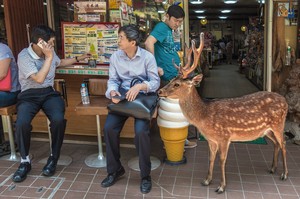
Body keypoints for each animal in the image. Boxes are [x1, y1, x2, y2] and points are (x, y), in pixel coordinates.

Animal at [158, 32, 290, 193]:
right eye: (171, 80)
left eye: (177, 84)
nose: (159, 91)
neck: (204, 116)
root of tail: (285, 101)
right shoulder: (211, 139)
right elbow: (211, 158)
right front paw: (207, 180)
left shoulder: (224, 136)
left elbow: (222, 160)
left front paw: (221, 186)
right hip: (267, 130)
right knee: (276, 144)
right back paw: (272, 168)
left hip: (278, 124)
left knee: (283, 143)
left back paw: (284, 174)